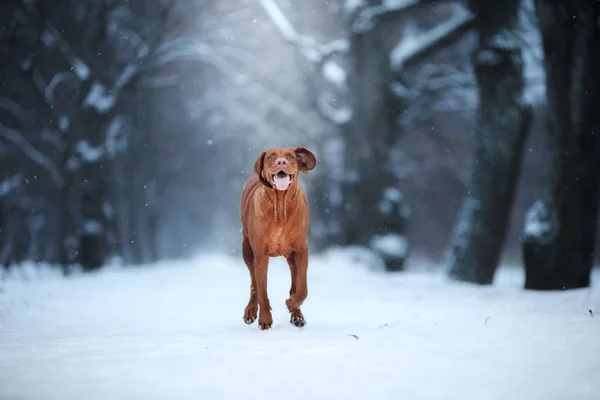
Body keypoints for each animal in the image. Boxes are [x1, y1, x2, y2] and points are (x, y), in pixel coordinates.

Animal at [239, 148, 316, 332]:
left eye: (290, 157)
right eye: (271, 157)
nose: (281, 162)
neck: (280, 206)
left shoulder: (301, 251)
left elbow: (302, 289)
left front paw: (291, 304)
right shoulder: (260, 255)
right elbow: (262, 290)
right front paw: (265, 319)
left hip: (291, 257)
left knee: (295, 281)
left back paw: (297, 315)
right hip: (247, 249)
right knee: (254, 282)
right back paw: (251, 310)